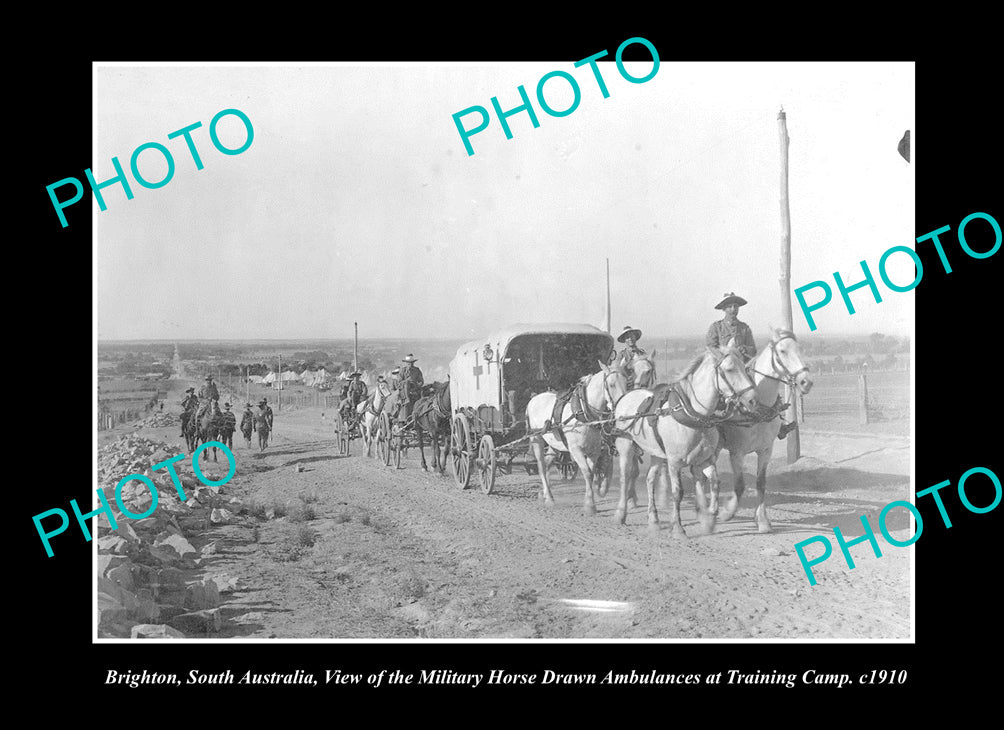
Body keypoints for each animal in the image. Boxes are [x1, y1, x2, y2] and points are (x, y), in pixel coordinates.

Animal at [526, 363, 626, 514]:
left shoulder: (594, 450)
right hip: (536, 438)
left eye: (627, 382)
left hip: (555, 444)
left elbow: (591, 472)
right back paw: (548, 498)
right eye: (612, 384)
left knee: (548, 463)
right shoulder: (575, 449)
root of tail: (533, 399)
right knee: (541, 466)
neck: (584, 412)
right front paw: (590, 506)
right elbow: (587, 473)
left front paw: (589, 502)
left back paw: (544, 494)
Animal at [610, 341, 755, 538]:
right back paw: (620, 514)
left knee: (650, 479)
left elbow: (714, 483)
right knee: (625, 478)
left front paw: (709, 520)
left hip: (657, 453)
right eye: (730, 369)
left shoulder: (705, 460)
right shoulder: (674, 462)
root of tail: (626, 395)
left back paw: (653, 519)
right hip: (625, 445)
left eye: (745, 367)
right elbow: (677, 492)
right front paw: (678, 528)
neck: (694, 415)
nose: (752, 399)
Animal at [714, 325, 815, 530]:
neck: (757, 409)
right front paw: (727, 512)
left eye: (800, 349)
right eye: (782, 351)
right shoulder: (736, 453)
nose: (806, 382)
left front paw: (762, 520)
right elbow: (740, 485)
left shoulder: (766, 450)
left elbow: (761, 483)